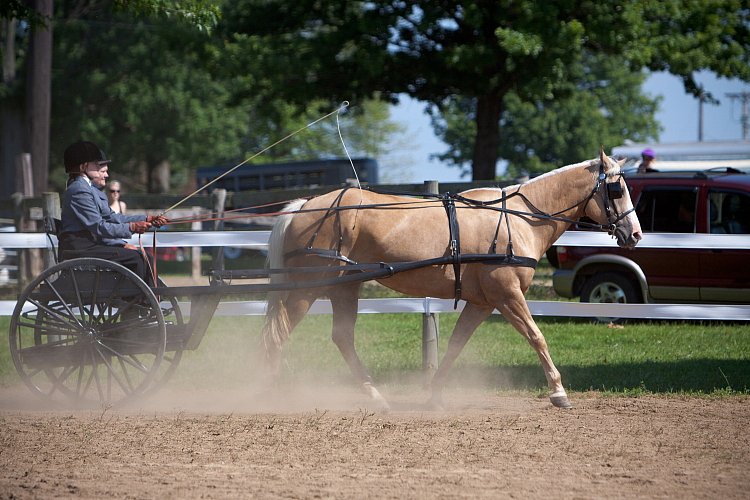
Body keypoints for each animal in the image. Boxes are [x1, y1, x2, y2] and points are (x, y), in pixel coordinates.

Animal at [262, 150, 644, 408]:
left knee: (341, 338)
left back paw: (375, 396)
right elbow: (537, 337)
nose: (636, 233)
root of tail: (304, 206)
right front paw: (559, 392)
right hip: (307, 288)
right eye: (617, 189)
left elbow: (456, 345)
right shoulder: (508, 296)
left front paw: (434, 393)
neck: (519, 218)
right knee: (278, 335)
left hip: (345, 288)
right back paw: (275, 392)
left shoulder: (481, 302)